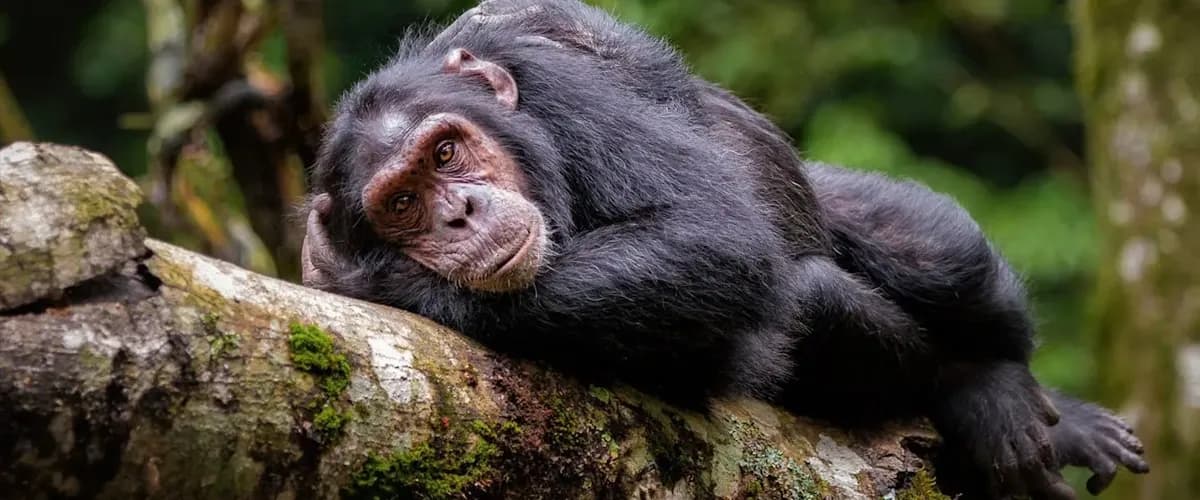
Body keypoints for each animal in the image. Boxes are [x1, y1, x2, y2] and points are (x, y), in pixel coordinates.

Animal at [301, 2, 1148, 498]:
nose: (458, 214)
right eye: (402, 203)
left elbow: (710, 234)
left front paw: (390, 283)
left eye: (446, 153)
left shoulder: (564, 94)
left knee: (936, 250)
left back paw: (1013, 397)